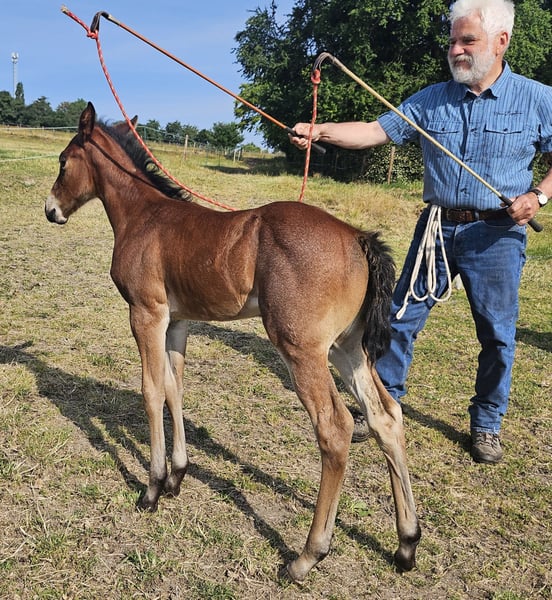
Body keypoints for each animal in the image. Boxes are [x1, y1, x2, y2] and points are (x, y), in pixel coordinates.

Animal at [45, 102, 420, 582]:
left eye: (63, 161)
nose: (51, 210)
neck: (144, 216)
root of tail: (358, 237)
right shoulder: (177, 322)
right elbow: (174, 389)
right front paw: (177, 476)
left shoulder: (146, 314)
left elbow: (151, 391)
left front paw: (151, 489)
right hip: (347, 348)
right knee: (385, 418)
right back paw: (407, 543)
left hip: (302, 349)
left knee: (335, 428)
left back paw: (307, 556)